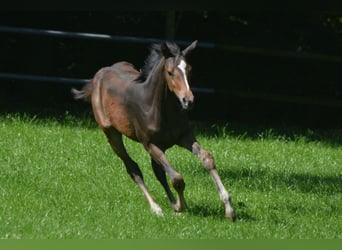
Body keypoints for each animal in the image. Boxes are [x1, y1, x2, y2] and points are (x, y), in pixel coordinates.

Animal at [72, 40, 236, 220]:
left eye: (189, 70)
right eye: (170, 73)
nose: (188, 100)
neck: (157, 108)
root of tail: (97, 77)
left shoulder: (184, 137)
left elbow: (206, 159)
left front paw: (229, 209)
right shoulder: (150, 144)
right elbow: (177, 178)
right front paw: (181, 206)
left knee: (158, 172)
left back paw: (172, 203)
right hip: (112, 134)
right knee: (133, 169)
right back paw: (156, 207)